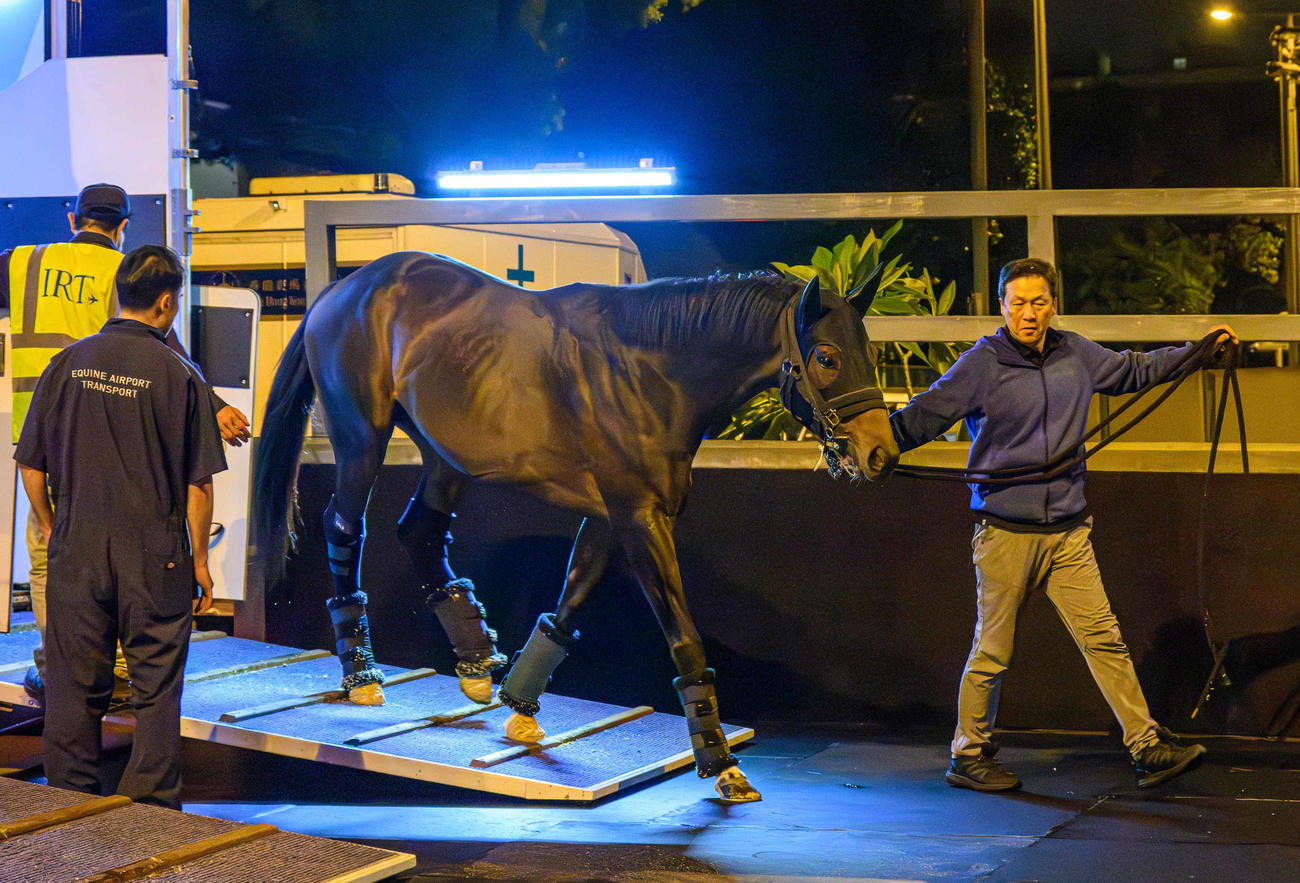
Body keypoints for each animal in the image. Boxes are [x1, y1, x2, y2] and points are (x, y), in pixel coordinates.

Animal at [255, 251, 899, 802]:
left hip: (445, 453)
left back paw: (476, 664)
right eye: (827, 357)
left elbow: (571, 602)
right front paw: (721, 763)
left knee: (421, 530)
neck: (651, 371)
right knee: (344, 527)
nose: (881, 454)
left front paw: (519, 706)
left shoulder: (608, 517)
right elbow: (683, 636)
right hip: (361, 437)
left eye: (869, 351)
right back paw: (361, 674)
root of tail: (342, 290)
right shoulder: (638, 518)